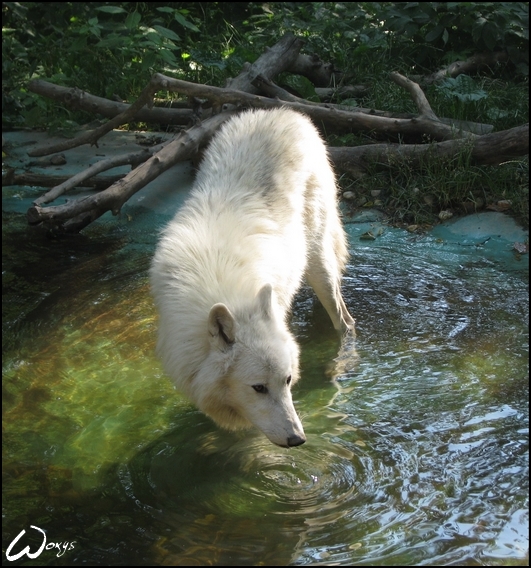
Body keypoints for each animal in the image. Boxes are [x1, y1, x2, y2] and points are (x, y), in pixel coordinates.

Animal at [150, 107, 356, 448]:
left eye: (287, 380)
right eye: (259, 388)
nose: (298, 438)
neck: (219, 281)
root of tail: (286, 112)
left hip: (318, 266)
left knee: (344, 320)